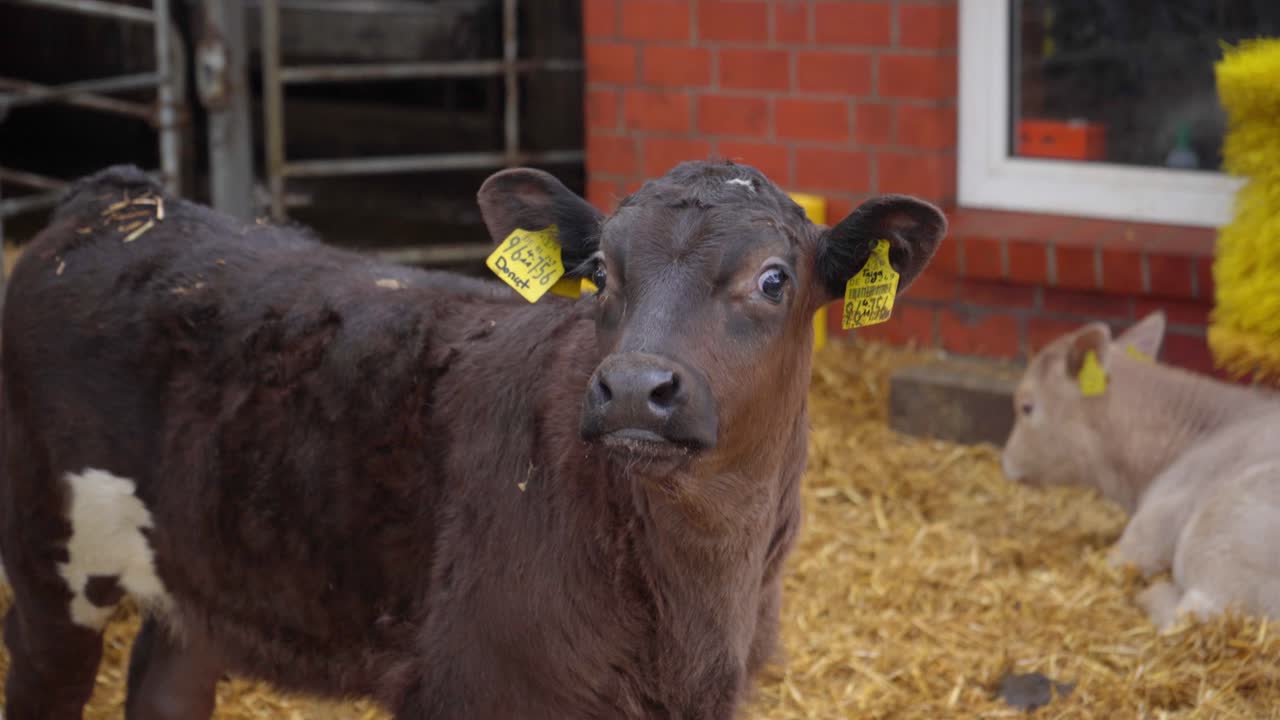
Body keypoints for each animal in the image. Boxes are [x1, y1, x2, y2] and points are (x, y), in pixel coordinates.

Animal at [0, 160, 945, 719]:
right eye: (597, 273)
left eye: (774, 279)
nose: (633, 389)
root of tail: (121, 198)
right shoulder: (479, 684)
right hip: (51, 569)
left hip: (200, 579)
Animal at [1001, 312, 1280, 630]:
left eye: (1026, 407)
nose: (1005, 462)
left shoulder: (1154, 522)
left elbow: (1113, 562)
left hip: (1218, 531)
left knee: (1190, 615)